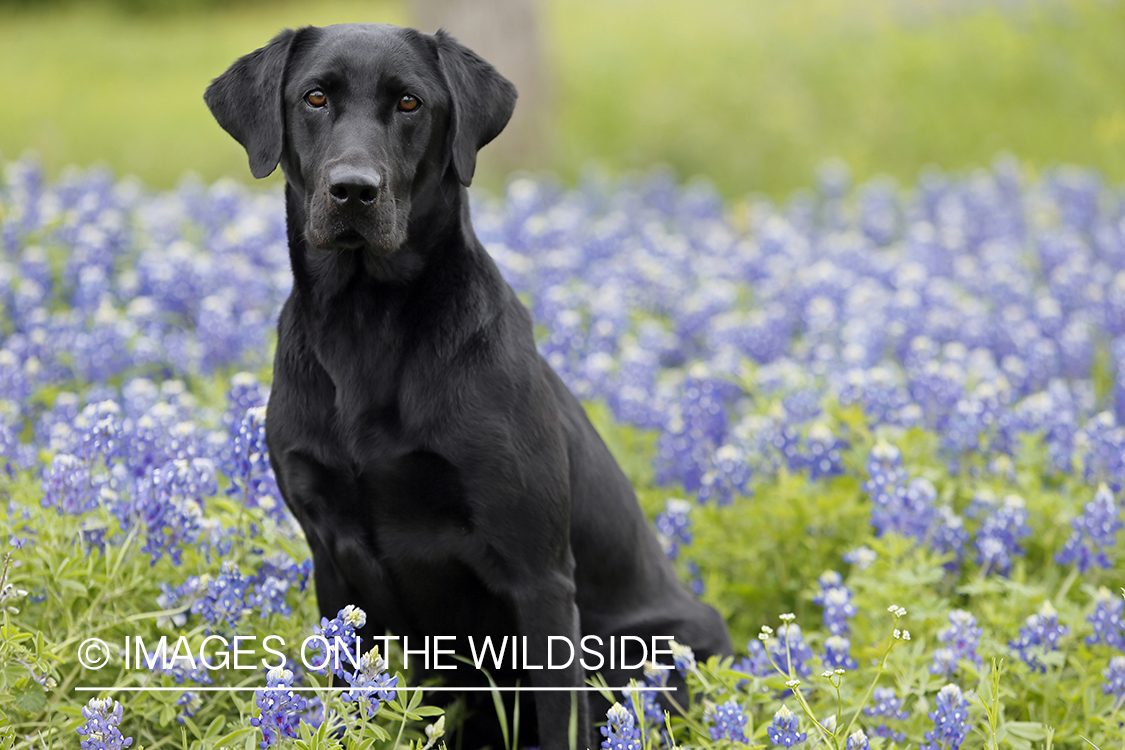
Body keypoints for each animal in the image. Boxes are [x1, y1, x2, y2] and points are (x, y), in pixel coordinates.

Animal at [204, 24, 729, 750]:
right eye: (314, 97)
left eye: (409, 102)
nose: (353, 190)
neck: (365, 323)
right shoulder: (331, 561)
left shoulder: (538, 572)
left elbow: (559, 718)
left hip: (654, 649)